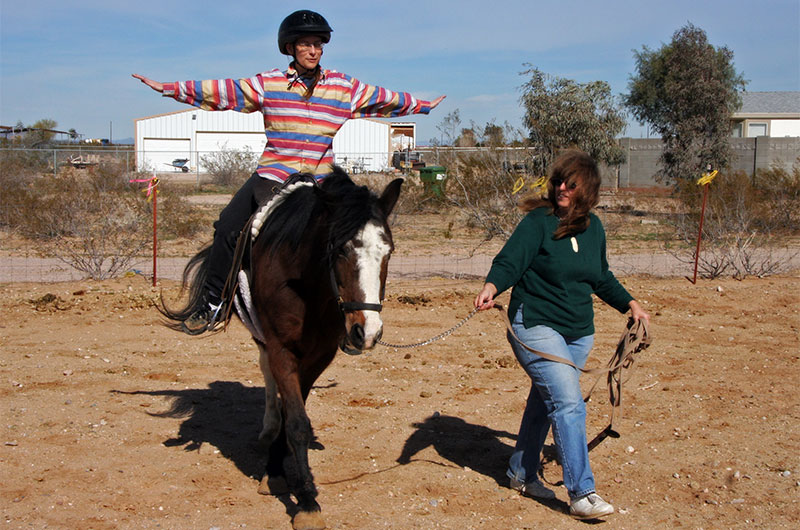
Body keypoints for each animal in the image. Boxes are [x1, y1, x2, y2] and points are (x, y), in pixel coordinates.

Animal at [165, 168, 400, 524]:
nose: (367, 332)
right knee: (266, 372)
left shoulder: (319, 356)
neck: (307, 286)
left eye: (388, 251)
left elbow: (296, 411)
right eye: (341, 250)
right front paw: (305, 500)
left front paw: (278, 471)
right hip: (261, 336)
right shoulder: (280, 348)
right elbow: (296, 421)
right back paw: (268, 425)